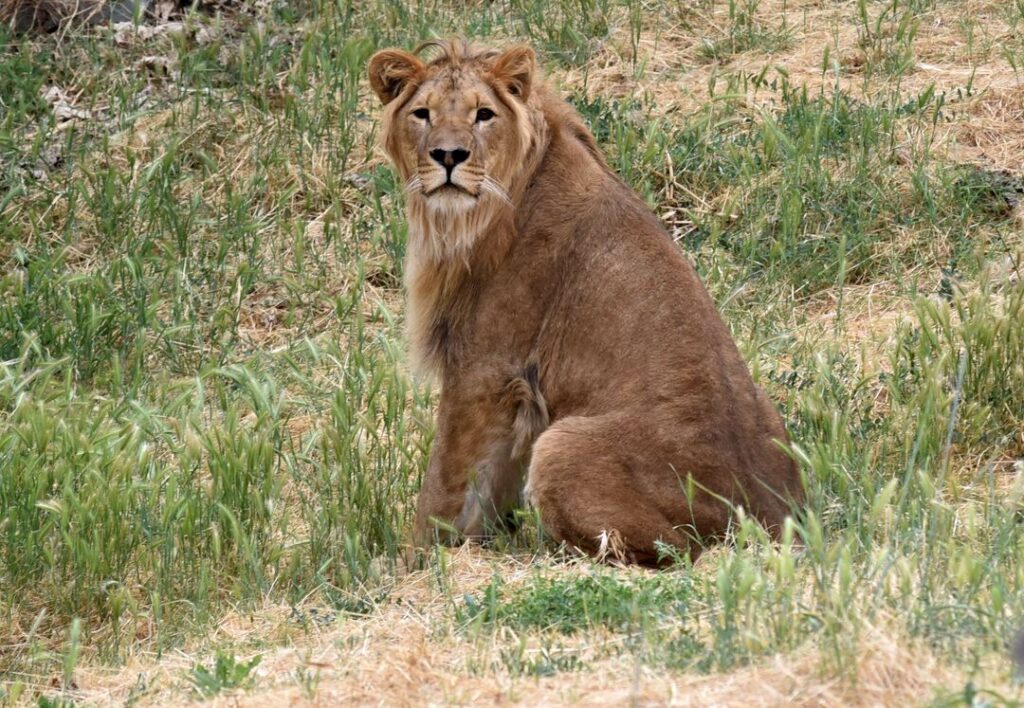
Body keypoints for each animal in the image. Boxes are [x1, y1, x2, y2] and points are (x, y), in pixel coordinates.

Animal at [368, 39, 803, 566]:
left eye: (483, 114)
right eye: (422, 114)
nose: (448, 155)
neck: (466, 221)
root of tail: (774, 522)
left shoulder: (484, 368)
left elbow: (444, 484)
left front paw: (414, 563)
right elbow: (486, 485)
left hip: (562, 445)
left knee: (674, 551)